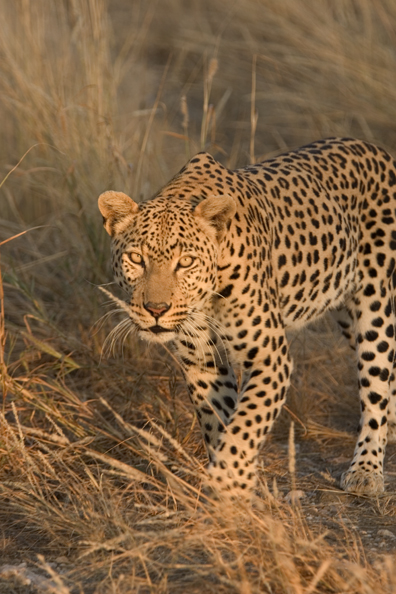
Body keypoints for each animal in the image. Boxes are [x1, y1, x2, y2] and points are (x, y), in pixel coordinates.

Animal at [97, 139, 396, 500]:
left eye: (186, 262)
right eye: (136, 258)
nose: (156, 309)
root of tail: (378, 150)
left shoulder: (270, 357)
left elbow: (245, 424)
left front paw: (226, 484)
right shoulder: (204, 361)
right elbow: (220, 422)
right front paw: (235, 486)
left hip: (374, 305)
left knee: (375, 385)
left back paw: (366, 469)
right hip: (347, 315)